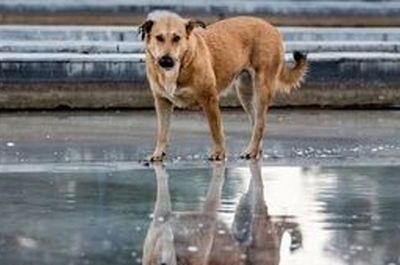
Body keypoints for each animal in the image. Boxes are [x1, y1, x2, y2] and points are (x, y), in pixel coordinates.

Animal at [139, 10, 308, 161]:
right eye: (159, 38)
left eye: (177, 38)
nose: (166, 61)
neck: (181, 64)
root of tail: (272, 27)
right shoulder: (162, 102)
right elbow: (162, 132)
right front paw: (158, 153)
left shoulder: (209, 99)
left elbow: (216, 130)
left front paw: (219, 153)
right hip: (245, 93)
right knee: (255, 122)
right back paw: (254, 151)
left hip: (262, 89)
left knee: (260, 123)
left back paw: (251, 151)